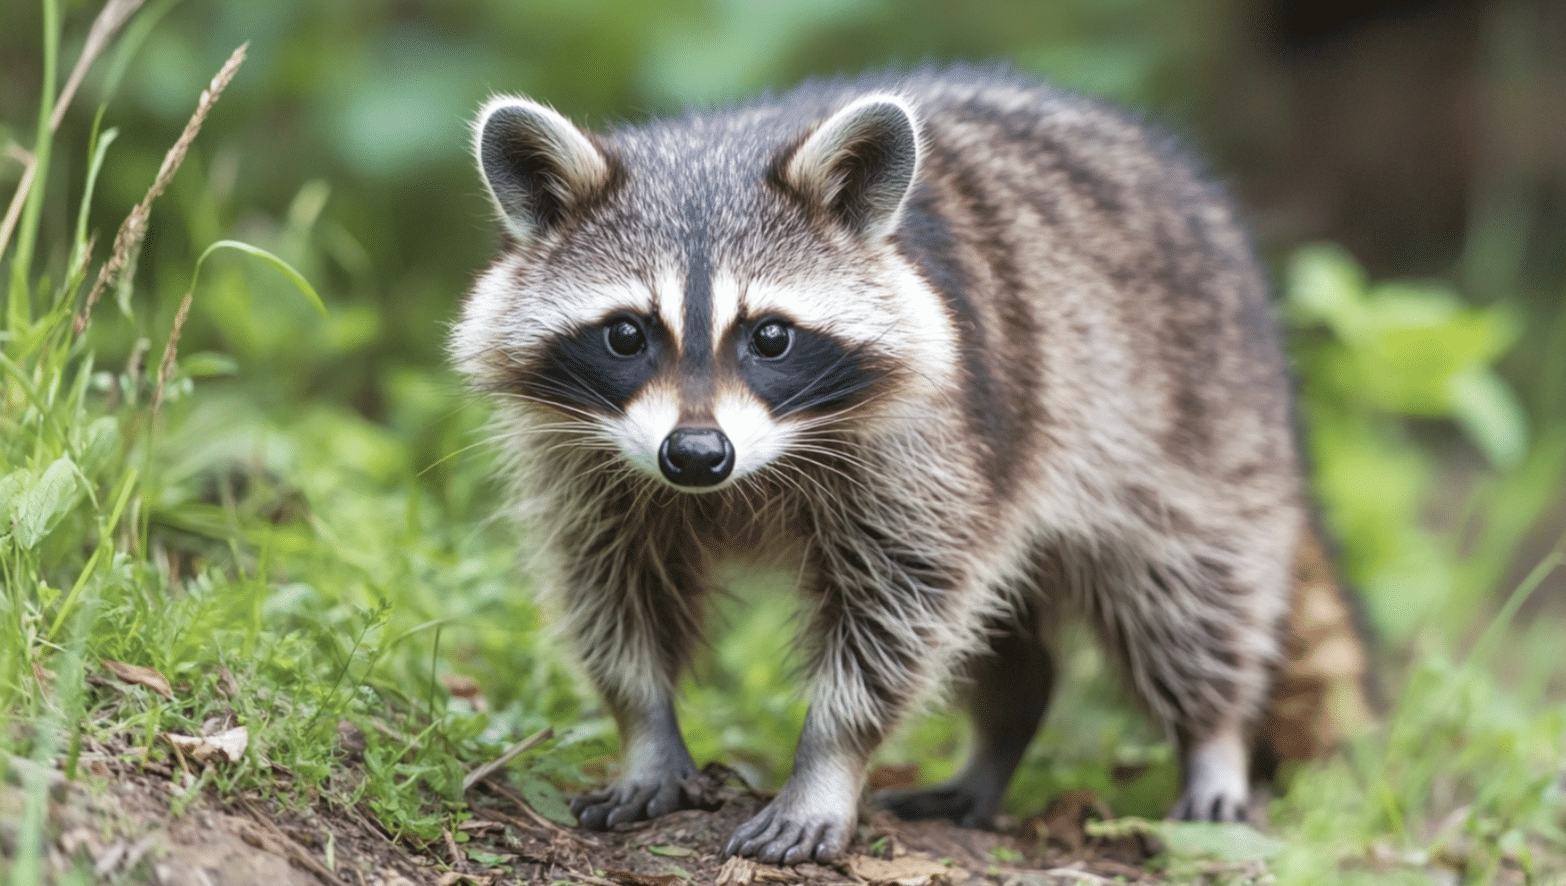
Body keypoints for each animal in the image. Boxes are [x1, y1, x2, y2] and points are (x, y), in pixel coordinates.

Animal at [451, 67, 1374, 865]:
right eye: (626, 334)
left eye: (770, 336)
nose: (697, 455)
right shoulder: (588, 461)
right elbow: (612, 588)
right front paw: (645, 728)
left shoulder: (928, 440)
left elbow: (900, 607)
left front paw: (827, 760)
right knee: (1015, 639)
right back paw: (1000, 741)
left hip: (1190, 422)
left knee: (1187, 592)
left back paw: (1212, 734)